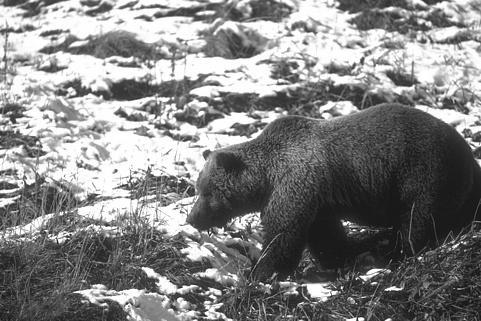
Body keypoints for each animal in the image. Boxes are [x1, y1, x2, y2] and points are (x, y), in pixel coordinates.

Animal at [185, 103, 480, 280]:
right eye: (198, 188)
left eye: (208, 192)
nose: (192, 218)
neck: (267, 178)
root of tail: (468, 153)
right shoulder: (318, 200)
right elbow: (326, 236)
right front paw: (339, 259)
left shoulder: (295, 185)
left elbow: (283, 234)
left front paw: (260, 272)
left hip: (424, 172)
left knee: (418, 219)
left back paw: (395, 251)